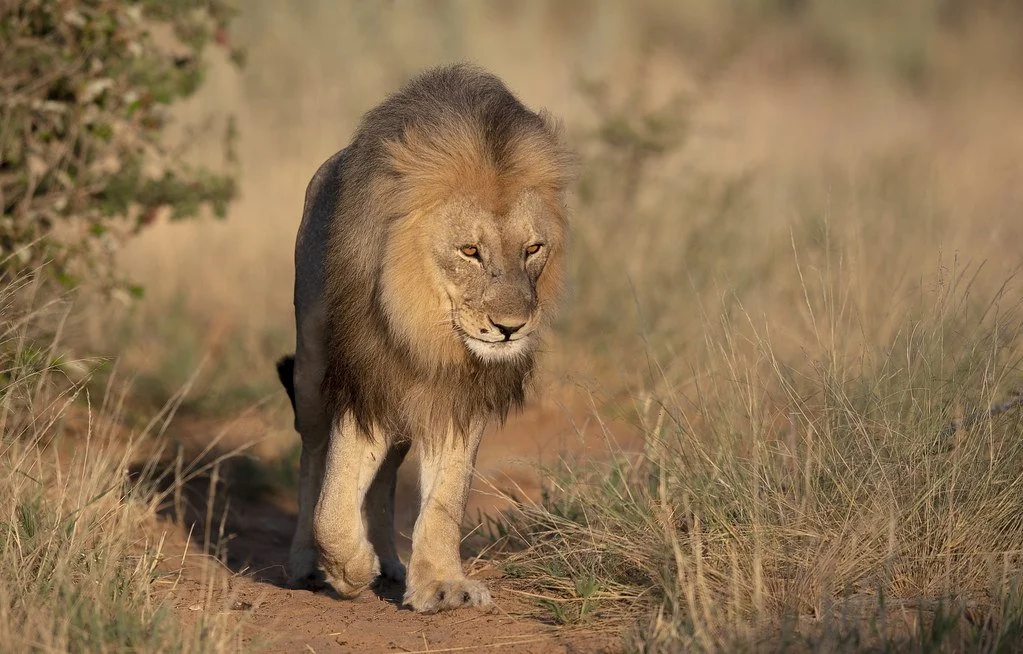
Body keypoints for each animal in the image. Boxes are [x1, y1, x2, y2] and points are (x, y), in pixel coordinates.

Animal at [276, 64, 572, 613]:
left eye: (533, 249)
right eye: (470, 250)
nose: (511, 327)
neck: (427, 331)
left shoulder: (459, 395)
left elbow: (445, 498)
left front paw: (439, 584)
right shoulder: (365, 374)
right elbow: (333, 498)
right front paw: (350, 568)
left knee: (387, 473)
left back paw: (391, 562)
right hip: (311, 369)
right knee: (313, 457)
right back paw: (308, 564)